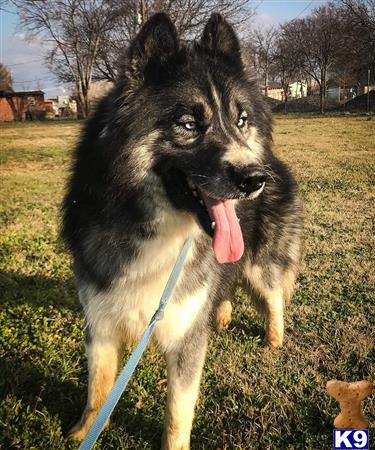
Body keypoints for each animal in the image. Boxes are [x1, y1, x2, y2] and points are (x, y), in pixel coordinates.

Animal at [61, 12, 302, 448]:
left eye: (242, 121)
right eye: (189, 124)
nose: (256, 179)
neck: (154, 227)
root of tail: (275, 161)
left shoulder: (185, 338)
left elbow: (177, 412)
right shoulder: (100, 323)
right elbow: (98, 387)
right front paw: (84, 432)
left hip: (262, 265)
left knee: (274, 297)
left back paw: (274, 340)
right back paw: (221, 318)